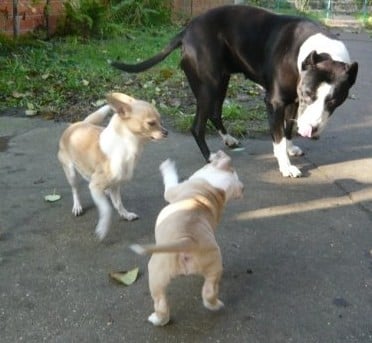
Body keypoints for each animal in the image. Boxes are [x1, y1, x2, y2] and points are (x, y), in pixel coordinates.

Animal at [57, 92, 167, 241]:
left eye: (161, 121)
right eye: (151, 123)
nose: (166, 132)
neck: (128, 146)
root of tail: (78, 124)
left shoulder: (116, 184)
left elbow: (118, 203)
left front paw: (125, 214)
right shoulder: (95, 186)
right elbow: (106, 209)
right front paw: (102, 229)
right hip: (71, 173)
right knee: (75, 190)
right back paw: (77, 206)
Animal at [111, 4, 358, 177]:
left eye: (334, 101)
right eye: (308, 95)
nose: (311, 130)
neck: (315, 51)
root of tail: (187, 30)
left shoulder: (292, 101)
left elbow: (288, 128)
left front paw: (291, 147)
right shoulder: (276, 102)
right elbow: (278, 137)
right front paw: (286, 165)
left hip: (222, 81)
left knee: (214, 113)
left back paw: (228, 138)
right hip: (209, 86)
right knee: (197, 125)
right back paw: (209, 156)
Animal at [131, 152, 244, 326]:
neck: (218, 187)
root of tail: (188, 240)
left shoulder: (172, 190)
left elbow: (170, 180)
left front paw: (167, 166)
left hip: (156, 272)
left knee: (161, 303)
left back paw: (156, 319)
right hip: (213, 265)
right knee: (209, 292)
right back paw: (215, 305)